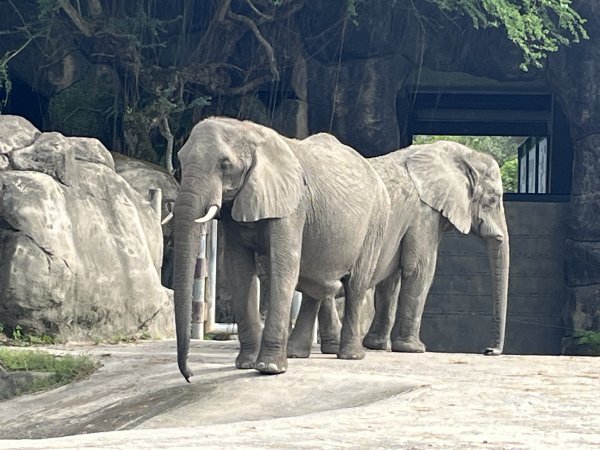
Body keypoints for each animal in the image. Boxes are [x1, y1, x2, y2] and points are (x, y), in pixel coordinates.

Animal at [172, 117, 390, 380]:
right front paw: (245, 364)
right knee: (315, 282)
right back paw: (297, 353)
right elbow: (238, 269)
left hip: (376, 221)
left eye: (225, 165)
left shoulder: (292, 205)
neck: (249, 131)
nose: (189, 375)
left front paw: (269, 369)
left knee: (356, 285)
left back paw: (350, 356)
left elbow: (284, 265)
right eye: (181, 159)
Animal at [288, 139, 508, 356]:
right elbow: (419, 270)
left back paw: (331, 348)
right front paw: (414, 349)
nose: (488, 350)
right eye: (493, 200)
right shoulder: (423, 212)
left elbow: (390, 279)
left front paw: (376, 346)